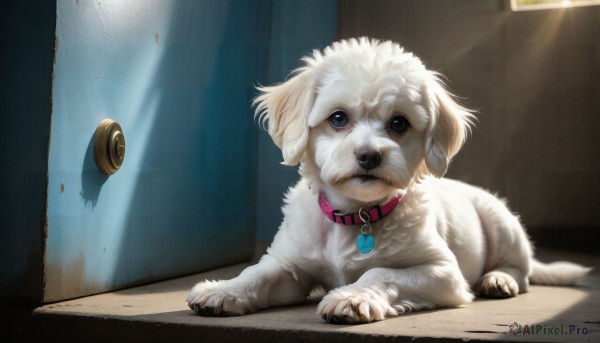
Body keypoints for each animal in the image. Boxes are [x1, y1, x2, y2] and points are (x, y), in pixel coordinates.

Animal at [188, 38, 592, 326]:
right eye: (338, 118)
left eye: (399, 123)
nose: (369, 155)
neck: (356, 216)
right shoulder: (289, 266)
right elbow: (256, 273)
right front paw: (224, 290)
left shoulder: (443, 272)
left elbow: (379, 272)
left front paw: (353, 296)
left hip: (501, 223)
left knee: (521, 271)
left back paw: (499, 280)